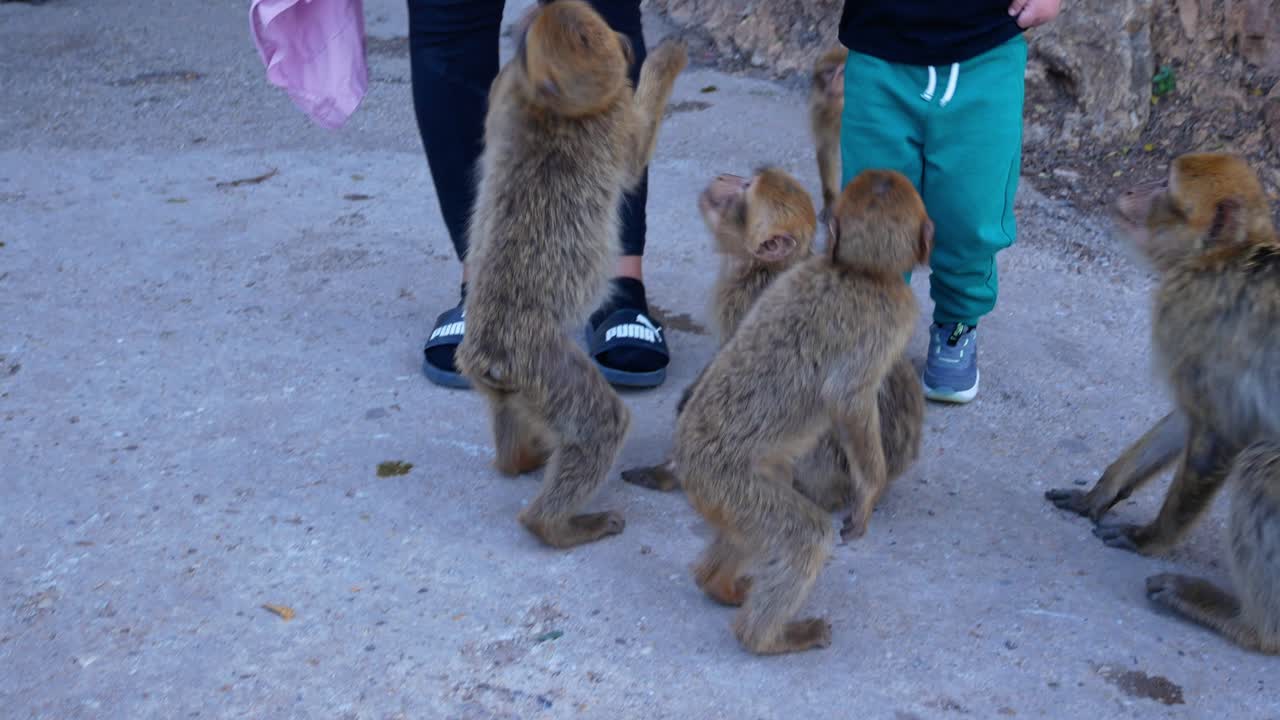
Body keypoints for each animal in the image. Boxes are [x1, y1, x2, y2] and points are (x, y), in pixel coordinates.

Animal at [454, 0, 688, 549]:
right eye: (591, 30)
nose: (622, 41)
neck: (547, 106)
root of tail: (486, 356)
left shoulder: (505, 94)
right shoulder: (611, 118)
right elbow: (634, 153)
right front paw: (663, 62)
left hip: (512, 383)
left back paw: (521, 456)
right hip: (540, 363)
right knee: (601, 423)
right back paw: (557, 525)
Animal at [672, 169, 932, 654]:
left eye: (745, 190)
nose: (724, 179)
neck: (859, 271)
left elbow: (847, 399)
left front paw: (868, 492)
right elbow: (846, 398)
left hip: (740, 486)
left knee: (796, 531)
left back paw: (745, 617)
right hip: (729, 486)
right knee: (790, 532)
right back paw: (740, 608)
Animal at [1045, 152, 1280, 558]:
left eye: (1165, 185)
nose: (1130, 189)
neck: (1219, 259)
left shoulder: (1195, 320)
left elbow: (1219, 432)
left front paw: (1151, 538)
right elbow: (1190, 416)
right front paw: (1101, 494)